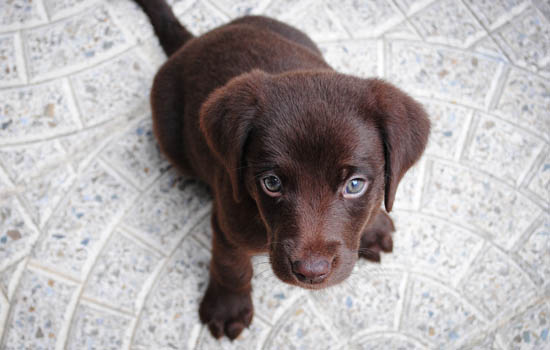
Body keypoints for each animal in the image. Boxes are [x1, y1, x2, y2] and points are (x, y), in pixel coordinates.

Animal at [135, 0, 432, 340]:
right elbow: (231, 265)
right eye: (272, 183)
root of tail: (194, 42)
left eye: (355, 185)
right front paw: (227, 307)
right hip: (171, 138)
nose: (311, 272)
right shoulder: (227, 221)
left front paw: (374, 225)